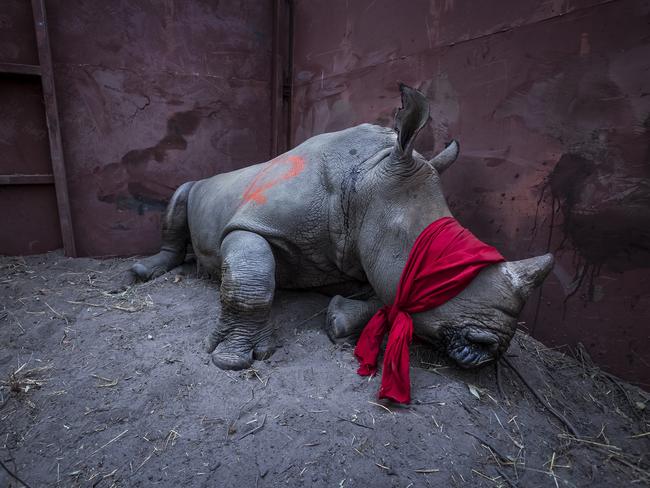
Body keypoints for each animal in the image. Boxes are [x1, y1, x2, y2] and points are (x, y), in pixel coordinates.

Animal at [132, 85, 552, 374]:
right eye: (440, 264)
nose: (491, 346)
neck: (367, 178)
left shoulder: (362, 250)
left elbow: (385, 296)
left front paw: (338, 320)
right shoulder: (254, 224)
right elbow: (250, 282)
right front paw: (233, 358)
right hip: (199, 185)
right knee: (181, 194)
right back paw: (144, 272)